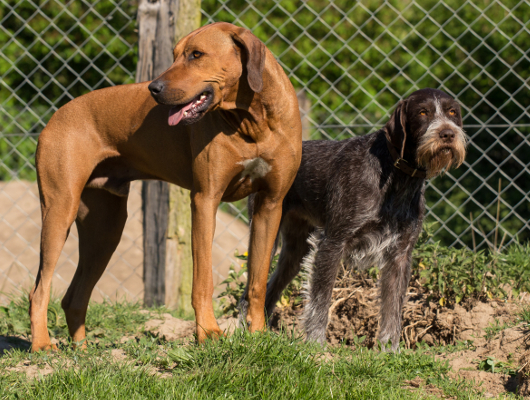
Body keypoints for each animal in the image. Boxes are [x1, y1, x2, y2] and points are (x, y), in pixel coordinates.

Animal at [29, 23, 302, 352]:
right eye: (174, 55)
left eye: (196, 55)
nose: (153, 88)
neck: (252, 120)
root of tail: (54, 117)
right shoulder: (205, 200)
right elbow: (203, 280)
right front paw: (208, 333)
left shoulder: (270, 205)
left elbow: (259, 281)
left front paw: (258, 335)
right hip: (60, 210)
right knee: (39, 289)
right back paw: (42, 345)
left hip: (106, 228)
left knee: (74, 297)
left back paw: (82, 351)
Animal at [238, 86, 462, 350]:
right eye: (423, 112)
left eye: (452, 112)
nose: (448, 133)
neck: (397, 177)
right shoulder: (333, 243)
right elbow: (320, 300)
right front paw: (316, 345)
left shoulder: (400, 255)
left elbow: (393, 308)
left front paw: (389, 350)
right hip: (265, 236)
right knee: (248, 293)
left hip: (295, 251)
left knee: (271, 288)